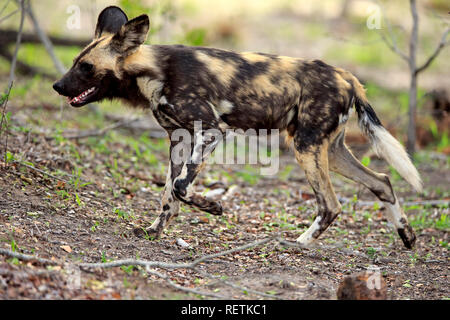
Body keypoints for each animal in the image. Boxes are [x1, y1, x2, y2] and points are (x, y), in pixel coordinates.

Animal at [52, 6, 422, 249]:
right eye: (74, 63)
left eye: (85, 67)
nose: (57, 86)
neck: (154, 72)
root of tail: (349, 77)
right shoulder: (179, 140)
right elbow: (169, 193)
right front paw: (154, 231)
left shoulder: (210, 130)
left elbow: (181, 187)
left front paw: (213, 207)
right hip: (328, 150)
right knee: (382, 181)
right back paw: (407, 236)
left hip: (306, 148)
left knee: (331, 204)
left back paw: (299, 242)